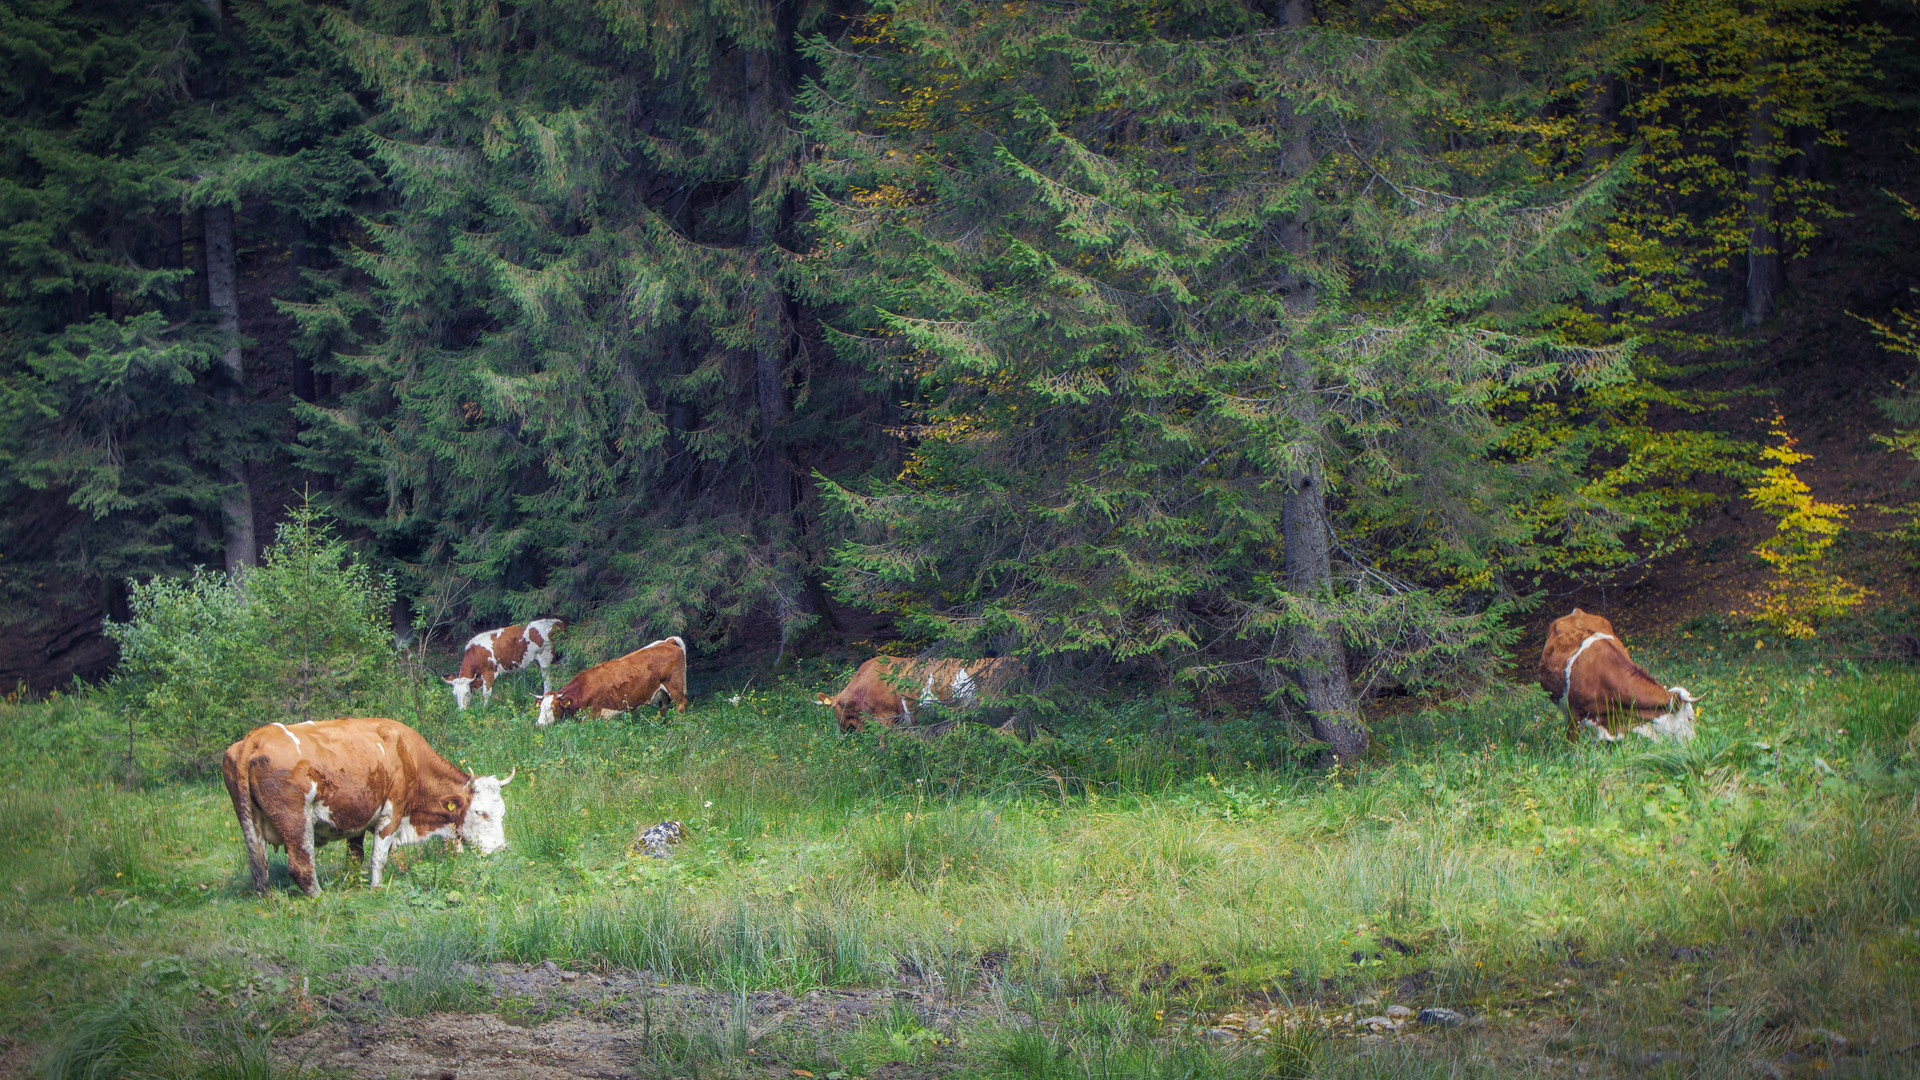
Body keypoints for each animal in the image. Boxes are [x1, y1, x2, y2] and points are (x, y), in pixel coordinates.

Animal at [218, 711, 514, 895]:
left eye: (502, 812)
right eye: (480, 812)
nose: (501, 849)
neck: (409, 756)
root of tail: (255, 737)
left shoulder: (358, 819)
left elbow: (354, 858)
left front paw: (355, 884)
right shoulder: (391, 814)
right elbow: (378, 857)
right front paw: (376, 889)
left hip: (249, 822)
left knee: (259, 867)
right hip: (296, 822)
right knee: (301, 865)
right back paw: (319, 898)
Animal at [533, 630, 691, 722]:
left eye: (553, 707)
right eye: (540, 708)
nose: (539, 725)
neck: (582, 688)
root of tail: (667, 642)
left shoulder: (593, 715)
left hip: (675, 686)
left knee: (681, 705)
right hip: (662, 693)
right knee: (664, 708)